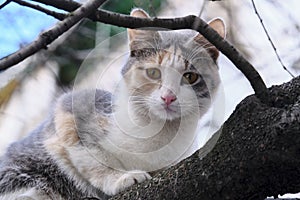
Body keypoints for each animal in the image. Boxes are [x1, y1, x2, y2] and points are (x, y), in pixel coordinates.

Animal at [0, 9, 224, 200]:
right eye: (153, 72)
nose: (168, 97)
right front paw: (121, 178)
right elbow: (92, 160)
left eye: (190, 76)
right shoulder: (71, 109)